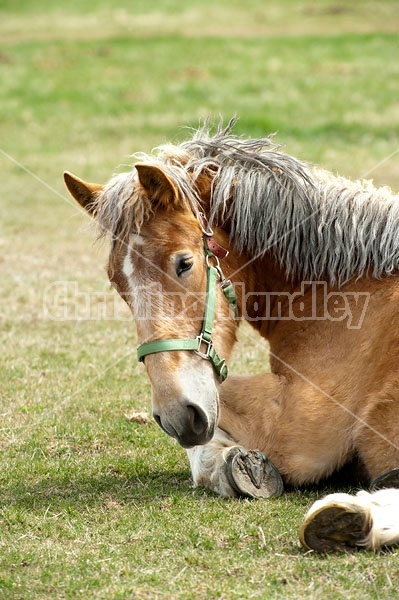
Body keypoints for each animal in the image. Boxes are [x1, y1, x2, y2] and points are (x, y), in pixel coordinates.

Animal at [64, 118, 399, 552]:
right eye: (116, 283)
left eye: (184, 263)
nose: (177, 416)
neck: (345, 286)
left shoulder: (298, 423)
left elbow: (213, 428)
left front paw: (235, 465)